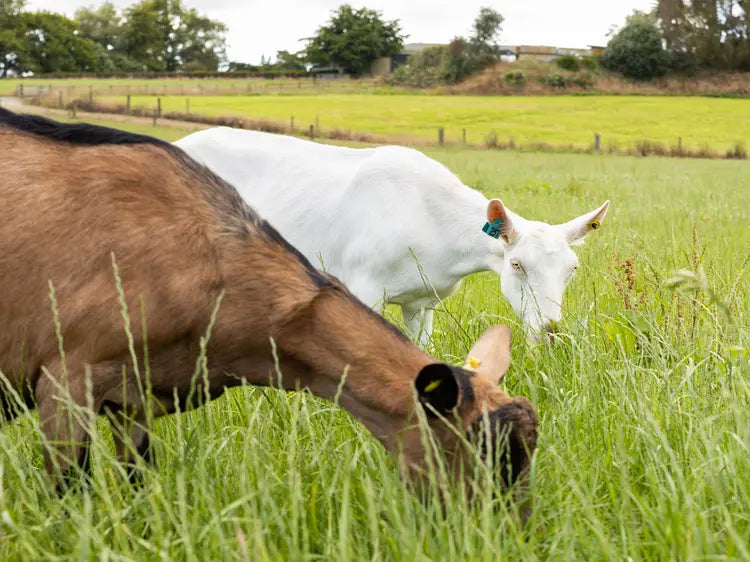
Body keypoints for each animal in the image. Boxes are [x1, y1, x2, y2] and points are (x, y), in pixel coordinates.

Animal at [0, 108, 536, 492]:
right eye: (488, 457)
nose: (503, 536)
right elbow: (70, 492)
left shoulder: (136, 396)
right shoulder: (66, 380)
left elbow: (138, 483)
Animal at [175, 128, 610, 343]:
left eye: (571, 269)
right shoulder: (362, 285)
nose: (550, 331)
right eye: (517, 264)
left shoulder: (424, 301)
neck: (431, 220)